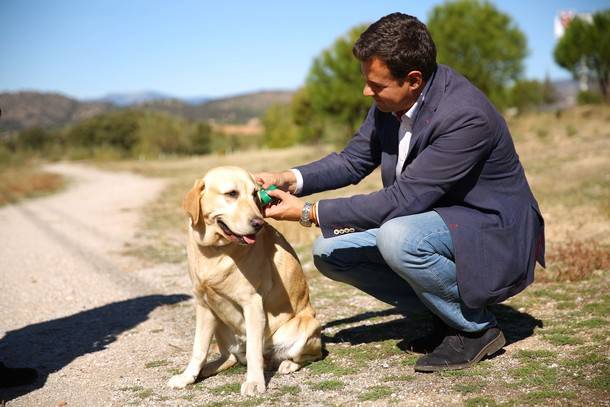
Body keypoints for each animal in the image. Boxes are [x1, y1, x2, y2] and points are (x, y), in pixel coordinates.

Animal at [166, 166, 318, 396]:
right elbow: (198, 349)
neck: (215, 250)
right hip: (220, 325)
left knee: (309, 355)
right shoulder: (203, 305)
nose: (258, 223)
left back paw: (287, 364)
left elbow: (254, 349)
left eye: (255, 194)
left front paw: (254, 382)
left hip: (306, 326)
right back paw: (207, 369)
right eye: (232, 194)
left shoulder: (252, 304)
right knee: (229, 357)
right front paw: (187, 377)